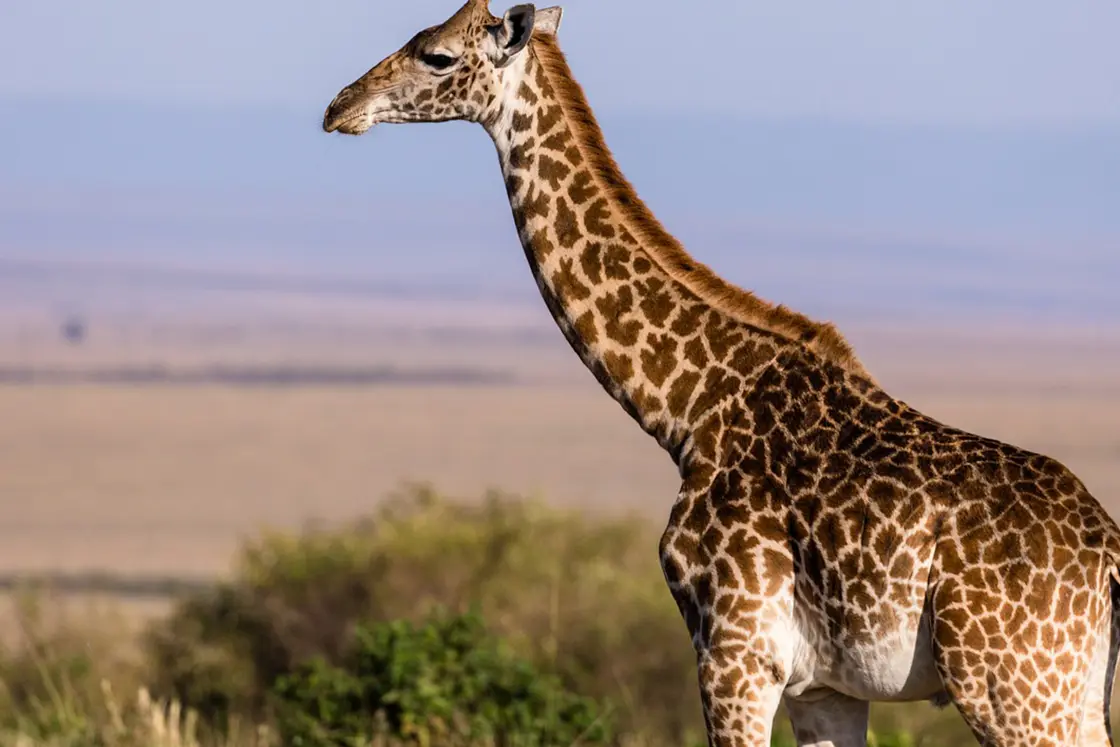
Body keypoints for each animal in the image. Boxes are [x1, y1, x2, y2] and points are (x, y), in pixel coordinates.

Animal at [320, 2, 1120, 743]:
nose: (339, 107)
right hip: (1070, 693)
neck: (687, 409)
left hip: (1012, 687)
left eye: (437, 54)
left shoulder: (734, 652)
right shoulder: (821, 685)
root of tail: (1109, 558)